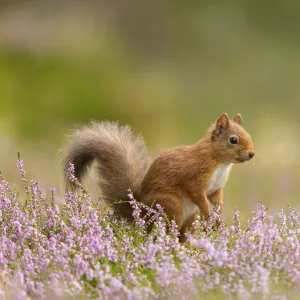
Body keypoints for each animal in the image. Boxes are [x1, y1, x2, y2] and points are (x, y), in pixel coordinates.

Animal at [62, 112, 254, 241]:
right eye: (233, 140)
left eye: (249, 136)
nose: (251, 154)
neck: (220, 162)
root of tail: (141, 213)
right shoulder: (194, 176)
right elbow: (198, 195)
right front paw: (208, 213)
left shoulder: (216, 188)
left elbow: (217, 200)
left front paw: (218, 218)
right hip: (171, 205)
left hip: (190, 217)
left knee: (182, 234)